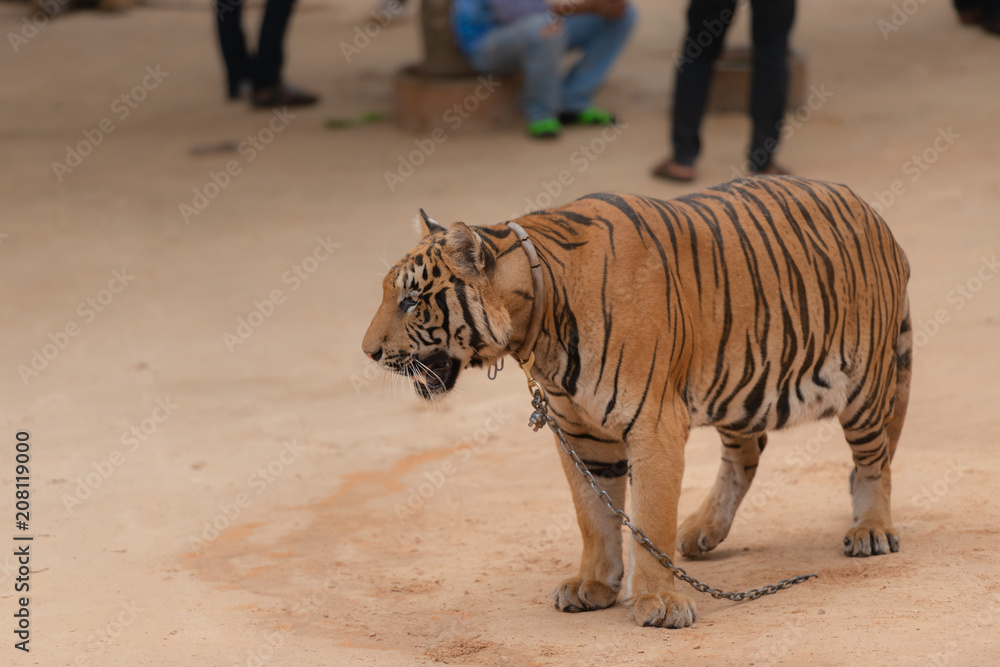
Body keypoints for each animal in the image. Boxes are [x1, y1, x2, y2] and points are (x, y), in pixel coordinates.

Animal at [362, 176, 912, 628]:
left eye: (410, 301)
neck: (536, 326)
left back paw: (870, 530)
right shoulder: (579, 434)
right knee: (747, 455)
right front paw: (594, 584)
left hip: (865, 383)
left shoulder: (654, 423)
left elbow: (650, 517)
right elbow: (593, 514)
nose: (369, 352)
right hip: (742, 386)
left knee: (875, 461)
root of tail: (874, 214)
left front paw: (659, 602)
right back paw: (702, 532)